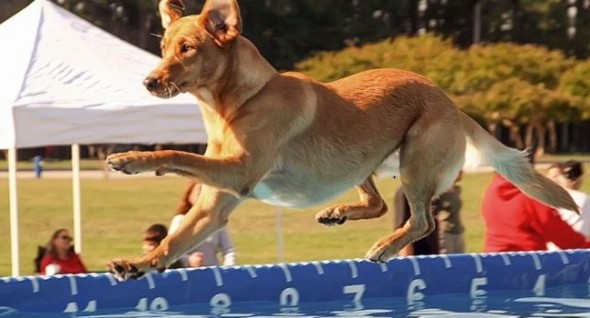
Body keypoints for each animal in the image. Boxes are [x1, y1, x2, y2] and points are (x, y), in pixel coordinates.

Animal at [106, 0, 580, 280]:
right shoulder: (212, 208)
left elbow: (174, 153)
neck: (237, 102)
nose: (148, 82)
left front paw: (131, 159)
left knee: (421, 221)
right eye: (164, 47)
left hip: (415, 160)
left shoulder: (240, 172)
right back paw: (339, 213)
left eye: (187, 48)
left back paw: (384, 246)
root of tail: (450, 101)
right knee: (381, 203)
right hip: (363, 160)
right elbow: (174, 240)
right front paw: (139, 264)